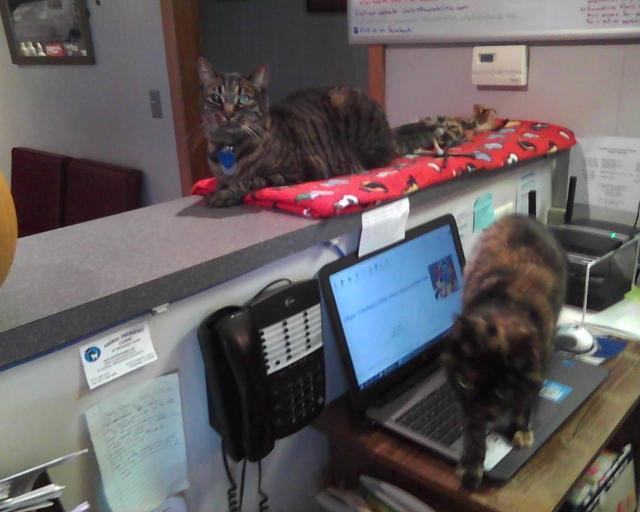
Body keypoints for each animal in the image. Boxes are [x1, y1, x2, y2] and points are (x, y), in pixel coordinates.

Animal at [198, 57, 498, 206]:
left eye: (243, 99)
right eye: (215, 98)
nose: (227, 112)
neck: (229, 148)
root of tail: (389, 131)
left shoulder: (299, 169)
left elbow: (254, 180)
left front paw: (227, 193)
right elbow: (221, 181)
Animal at [442, 214, 568, 490]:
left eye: (501, 391)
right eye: (464, 383)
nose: (480, 411)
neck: (504, 310)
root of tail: (523, 217)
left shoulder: (536, 369)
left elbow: (525, 401)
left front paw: (521, 429)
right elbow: (473, 433)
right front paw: (471, 465)